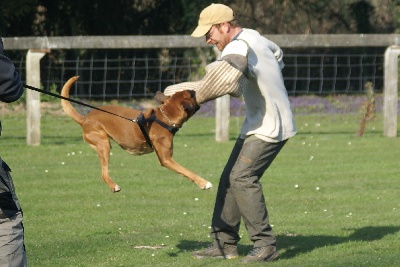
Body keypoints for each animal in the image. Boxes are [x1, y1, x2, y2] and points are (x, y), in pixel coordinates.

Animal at [60, 77, 212, 193]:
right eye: (190, 94)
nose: (194, 90)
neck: (164, 117)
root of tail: (84, 119)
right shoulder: (166, 159)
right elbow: (188, 171)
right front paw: (204, 183)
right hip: (104, 145)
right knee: (103, 174)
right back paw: (114, 186)